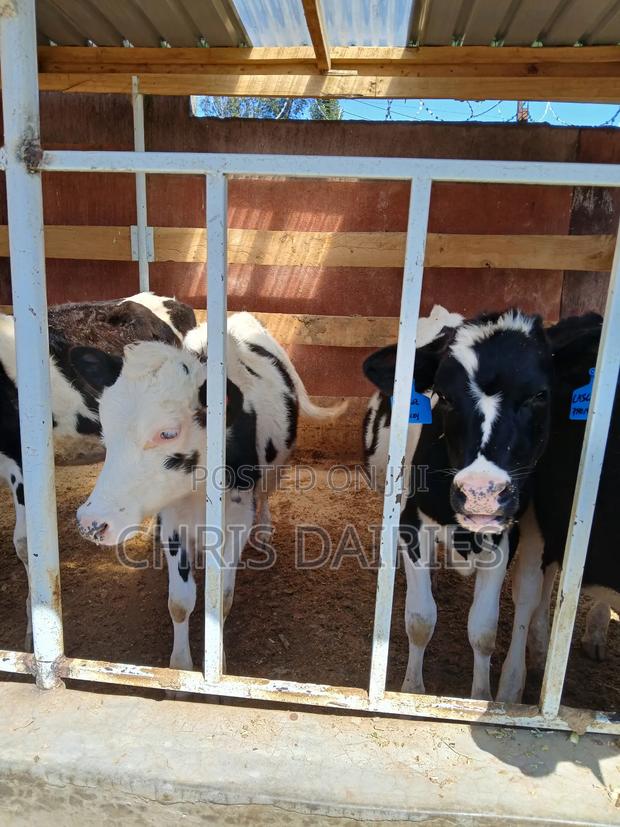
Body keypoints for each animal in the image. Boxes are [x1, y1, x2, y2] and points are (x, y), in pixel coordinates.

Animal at [72, 312, 346, 674]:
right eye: (106, 427)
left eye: (168, 432)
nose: (92, 522)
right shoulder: (173, 522)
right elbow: (180, 601)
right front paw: (181, 666)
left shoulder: (237, 521)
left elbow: (222, 599)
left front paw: (218, 663)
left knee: (267, 496)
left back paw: (265, 528)